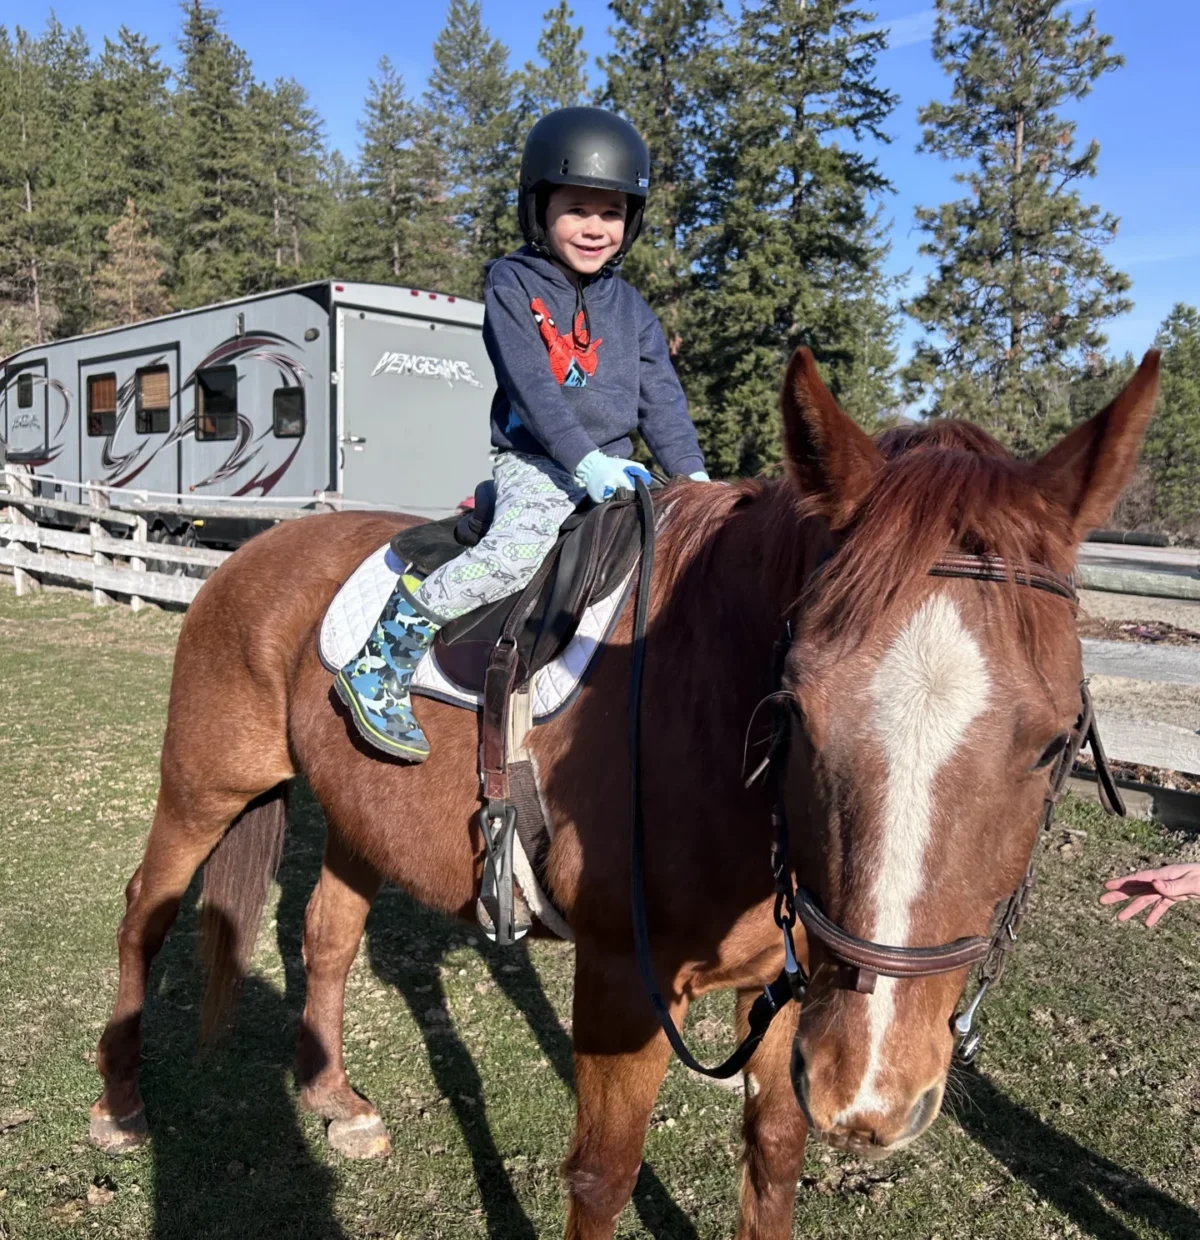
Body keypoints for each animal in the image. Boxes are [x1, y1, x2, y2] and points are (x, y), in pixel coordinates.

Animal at [89, 347, 1160, 1239]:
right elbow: (603, 1177)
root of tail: (246, 554)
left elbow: (775, 1158)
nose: (871, 1095)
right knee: (144, 909)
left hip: (360, 814)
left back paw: (332, 1103)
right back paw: (121, 1106)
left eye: (1055, 744)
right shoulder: (619, 981)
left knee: (326, 937)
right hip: (203, 786)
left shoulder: (789, 982)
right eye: (795, 710)